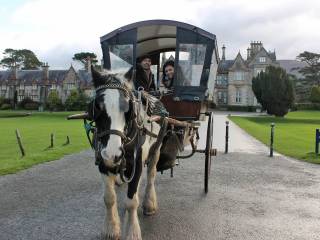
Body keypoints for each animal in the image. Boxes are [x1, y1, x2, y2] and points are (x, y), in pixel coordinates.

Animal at [87, 66, 168, 240]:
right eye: (97, 107)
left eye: (128, 108)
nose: (113, 153)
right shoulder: (103, 162)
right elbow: (109, 198)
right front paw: (111, 228)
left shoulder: (137, 165)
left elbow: (131, 201)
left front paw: (132, 231)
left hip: (156, 149)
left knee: (151, 175)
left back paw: (149, 203)